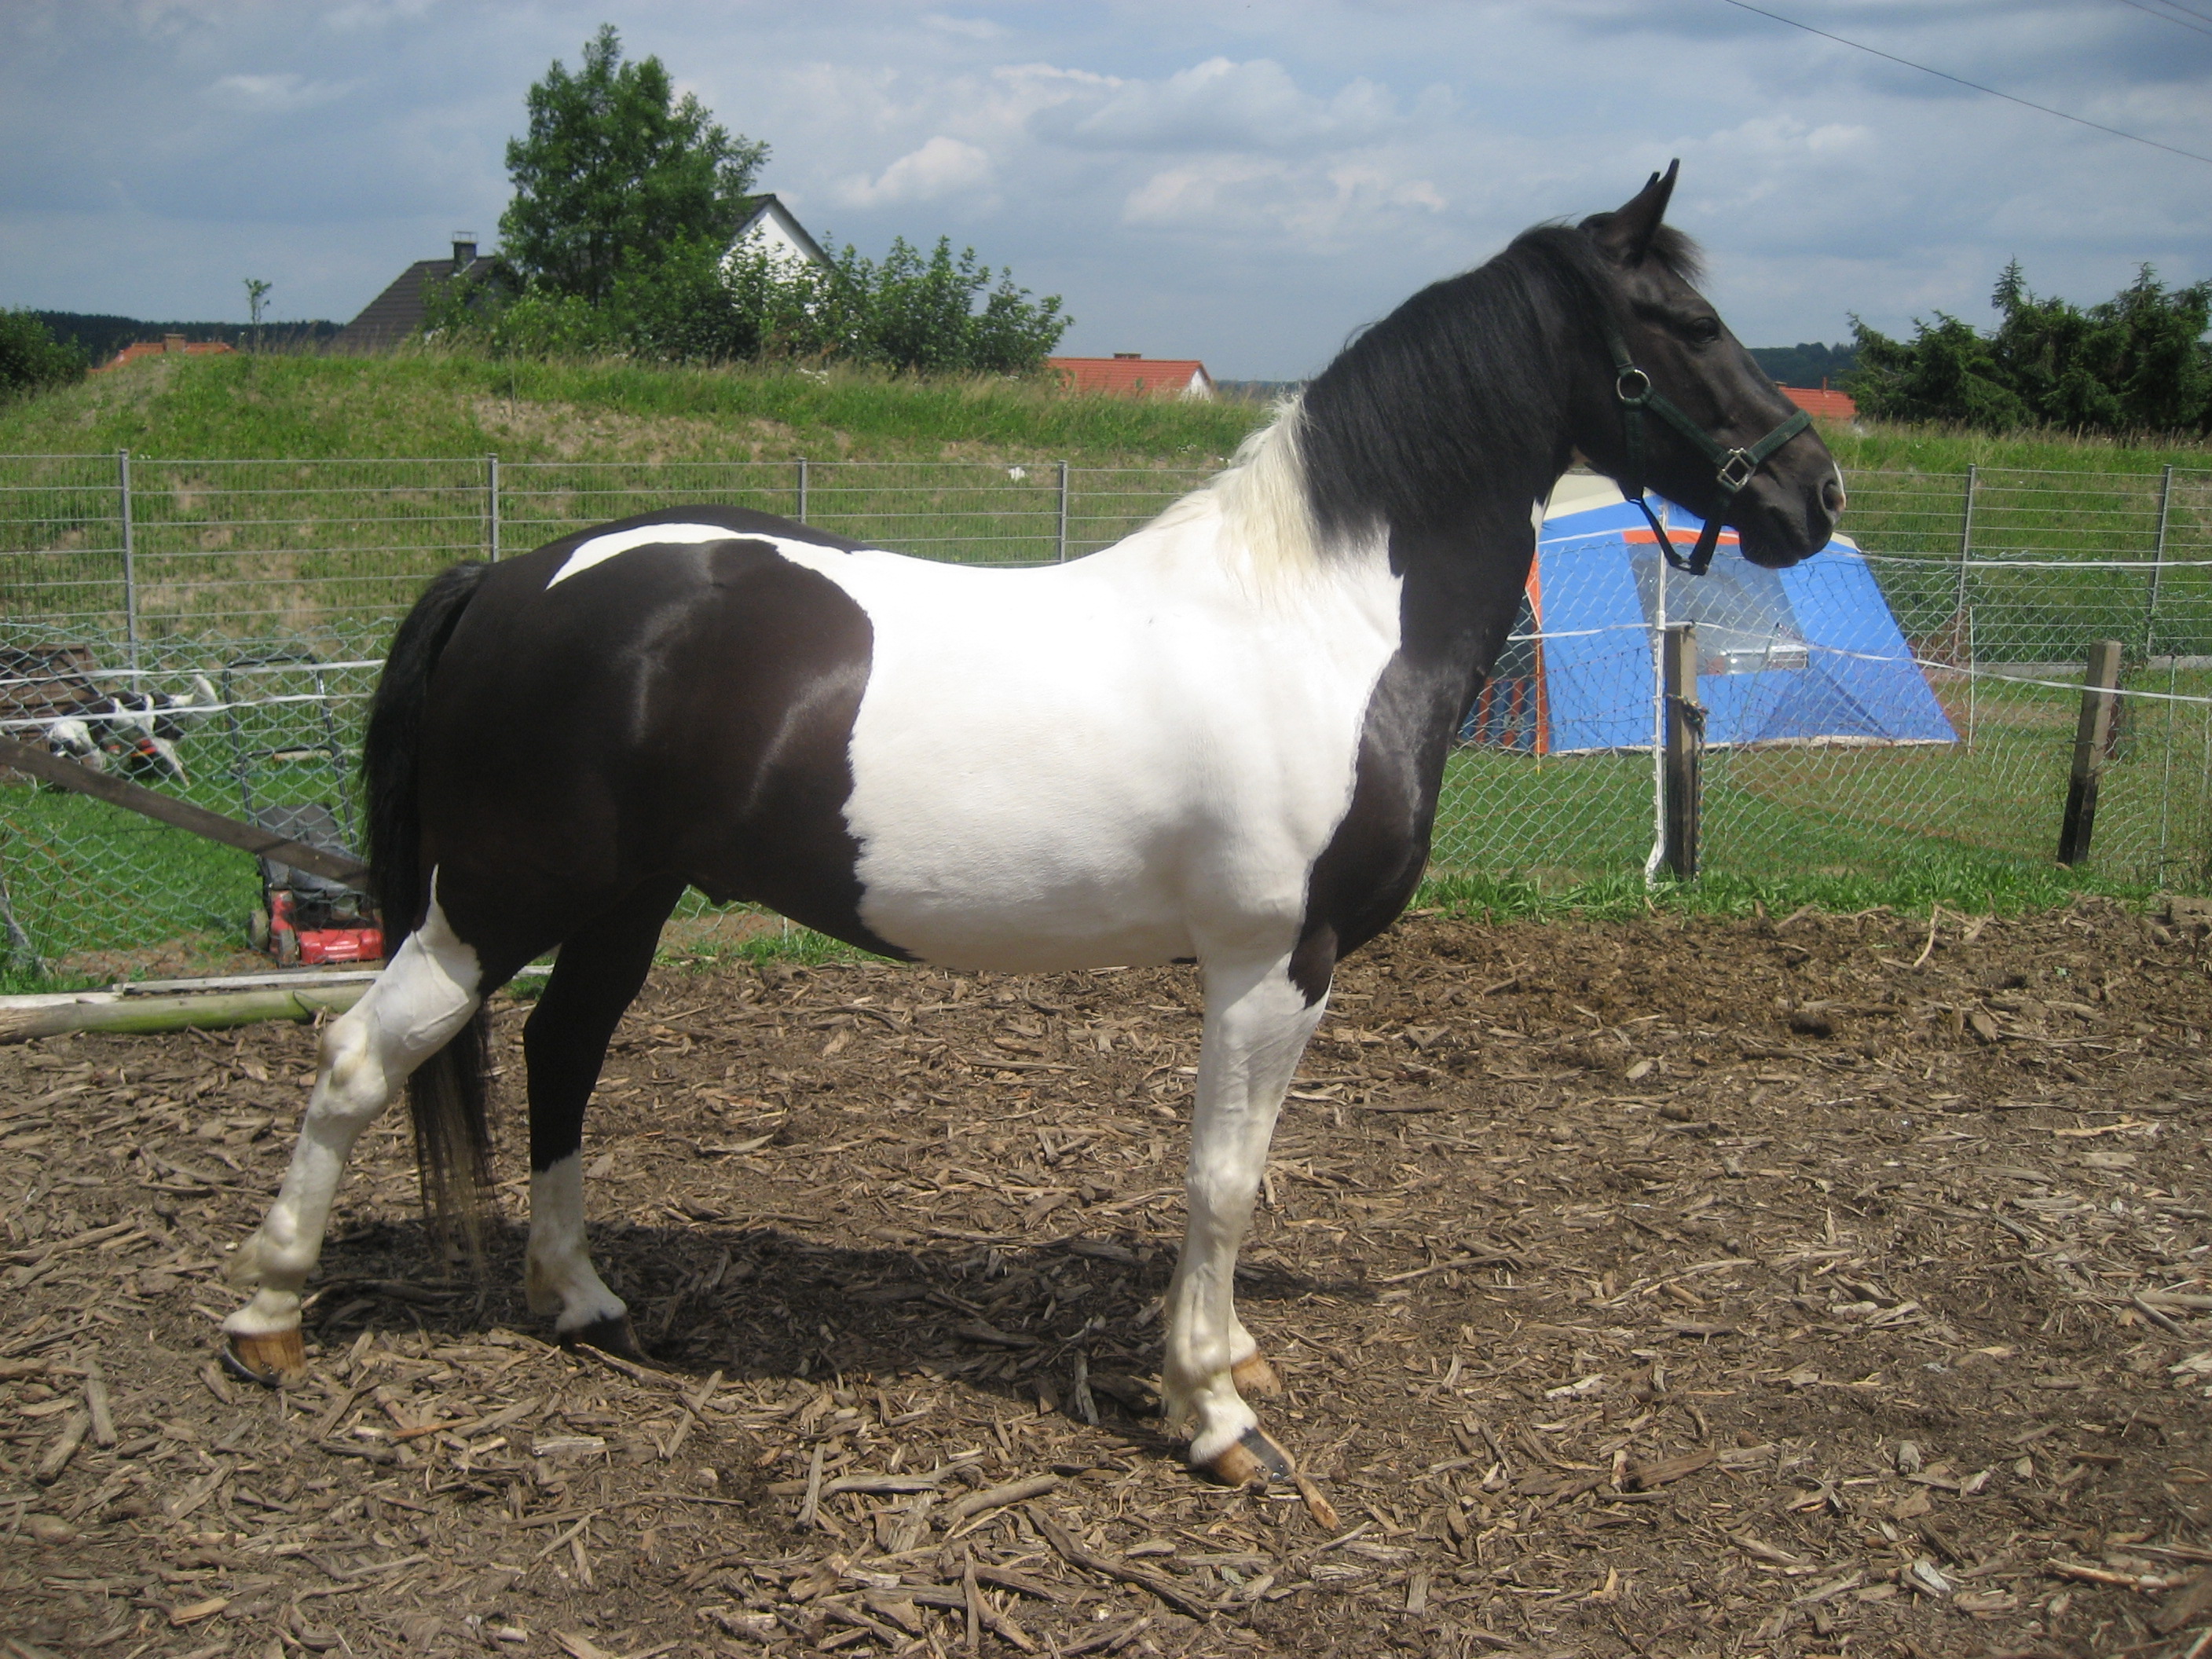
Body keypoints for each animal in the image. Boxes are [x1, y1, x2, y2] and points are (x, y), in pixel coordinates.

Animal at [221, 163, 1842, 1487]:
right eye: (1682, 319)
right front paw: (1212, 1412)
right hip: (498, 898)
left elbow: (1241, 1174)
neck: (1317, 619)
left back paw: (582, 1299)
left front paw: (1228, 1357)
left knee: (562, 1055)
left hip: (627, 900)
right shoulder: (1268, 963)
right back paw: (267, 1314)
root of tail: (510, 576)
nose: (1814, 489)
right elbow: (1221, 1178)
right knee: (360, 1058)